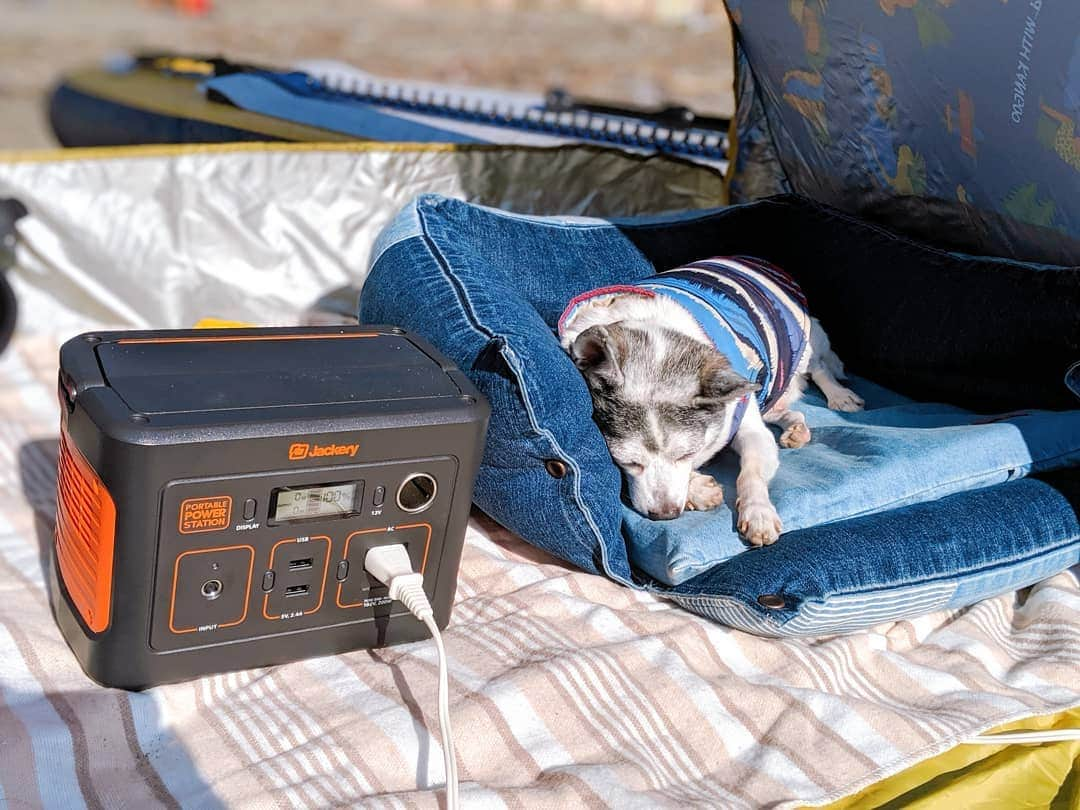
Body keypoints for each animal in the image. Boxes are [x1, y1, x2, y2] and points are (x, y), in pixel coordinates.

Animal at [561, 254, 864, 546]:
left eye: (687, 454)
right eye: (627, 462)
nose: (665, 515)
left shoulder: (747, 423)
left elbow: (751, 472)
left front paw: (758, 513)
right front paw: (697, 489)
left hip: (808, 343)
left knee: (821, 368)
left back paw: (840, 396)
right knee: (787, 410)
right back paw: (795, 428)